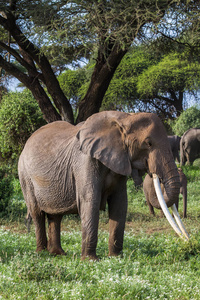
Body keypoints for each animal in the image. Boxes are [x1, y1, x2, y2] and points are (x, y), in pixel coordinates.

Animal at [18, 110, 181, 260]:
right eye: (148, 143)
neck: (125, 117)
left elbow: (120, 203)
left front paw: (115, 257)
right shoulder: (84, 161)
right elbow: (90, 201)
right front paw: (90, 260)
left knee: (55, 215)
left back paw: (58, 253)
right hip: (25, 175)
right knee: (37, 212)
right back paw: (42, 253)